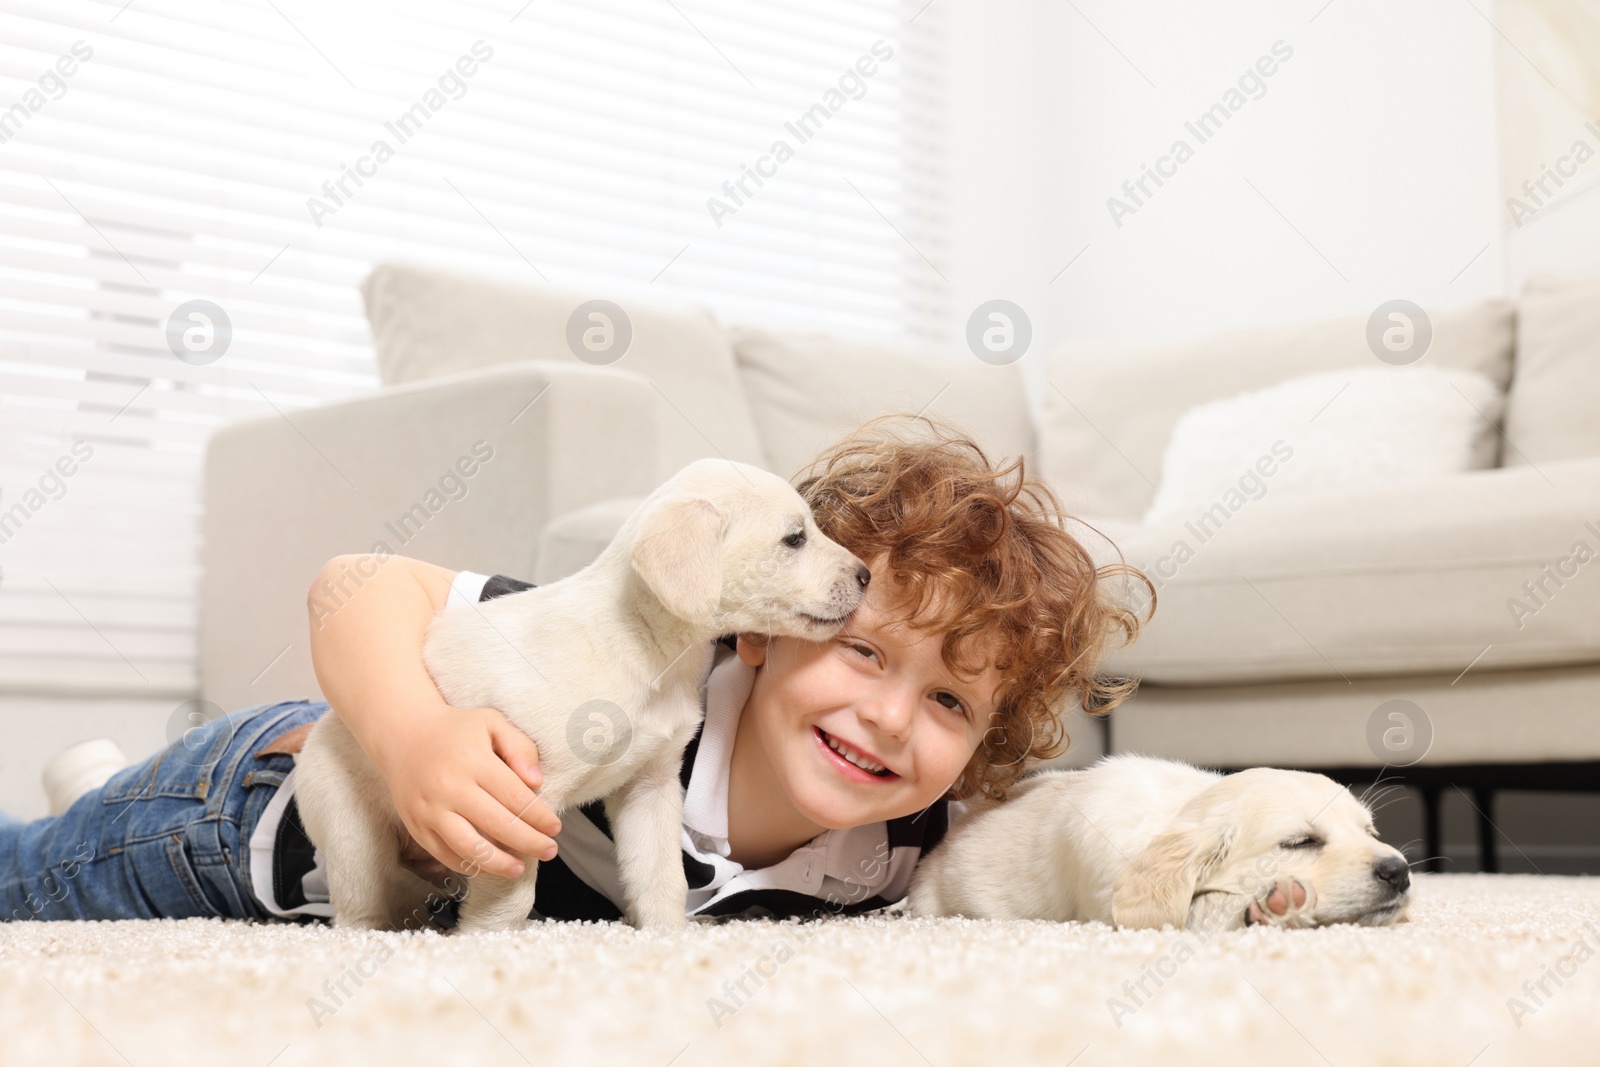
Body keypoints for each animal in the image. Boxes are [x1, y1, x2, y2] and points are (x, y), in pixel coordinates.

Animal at [294, 460, 870, 934]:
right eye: (794, 539)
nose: (865, 575)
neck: (646, 651)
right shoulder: (521, 800)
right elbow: (511, 897)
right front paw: (484, 942)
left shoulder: (650, 789)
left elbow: (662, 879)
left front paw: (668, 939)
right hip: (354, 839)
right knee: (358, 913)